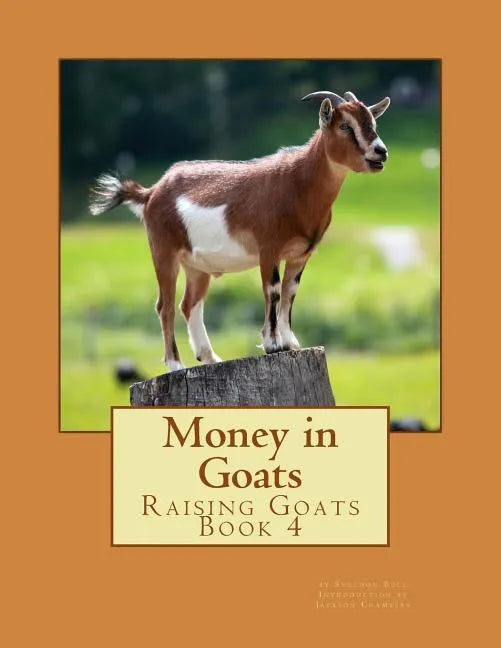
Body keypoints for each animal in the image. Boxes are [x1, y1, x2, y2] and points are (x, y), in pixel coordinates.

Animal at [90, 90, 390, 371]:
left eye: (373, 122)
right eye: (345, 126)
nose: (381, 151)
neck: (297, 184)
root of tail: (151, 192)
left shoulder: (300, 254)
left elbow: (290, 292)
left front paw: (290, 342)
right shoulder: (268, 248)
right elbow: (273, 290)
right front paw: (272, 345)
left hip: (196, 265)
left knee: (189, 304)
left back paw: (209, 357)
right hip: (164, 251)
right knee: (165, 306)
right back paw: (175, 364)